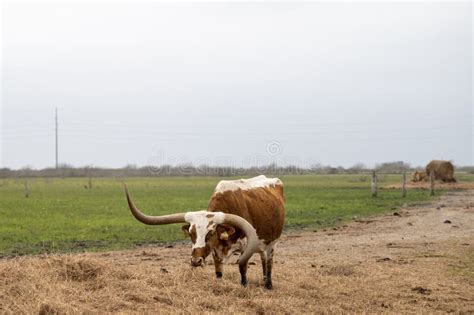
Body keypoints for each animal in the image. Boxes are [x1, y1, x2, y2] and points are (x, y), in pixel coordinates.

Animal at [123, 177, 286, 290]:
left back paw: (268, 284)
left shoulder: (245, 246)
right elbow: (218, 272)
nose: (195, 261)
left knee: (269, 260)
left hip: (272, 243)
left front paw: (244, 286)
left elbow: (242, 267)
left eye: (210, 233)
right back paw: (264, 281)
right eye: (191, 233)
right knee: (263, 258)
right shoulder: (215, 251)